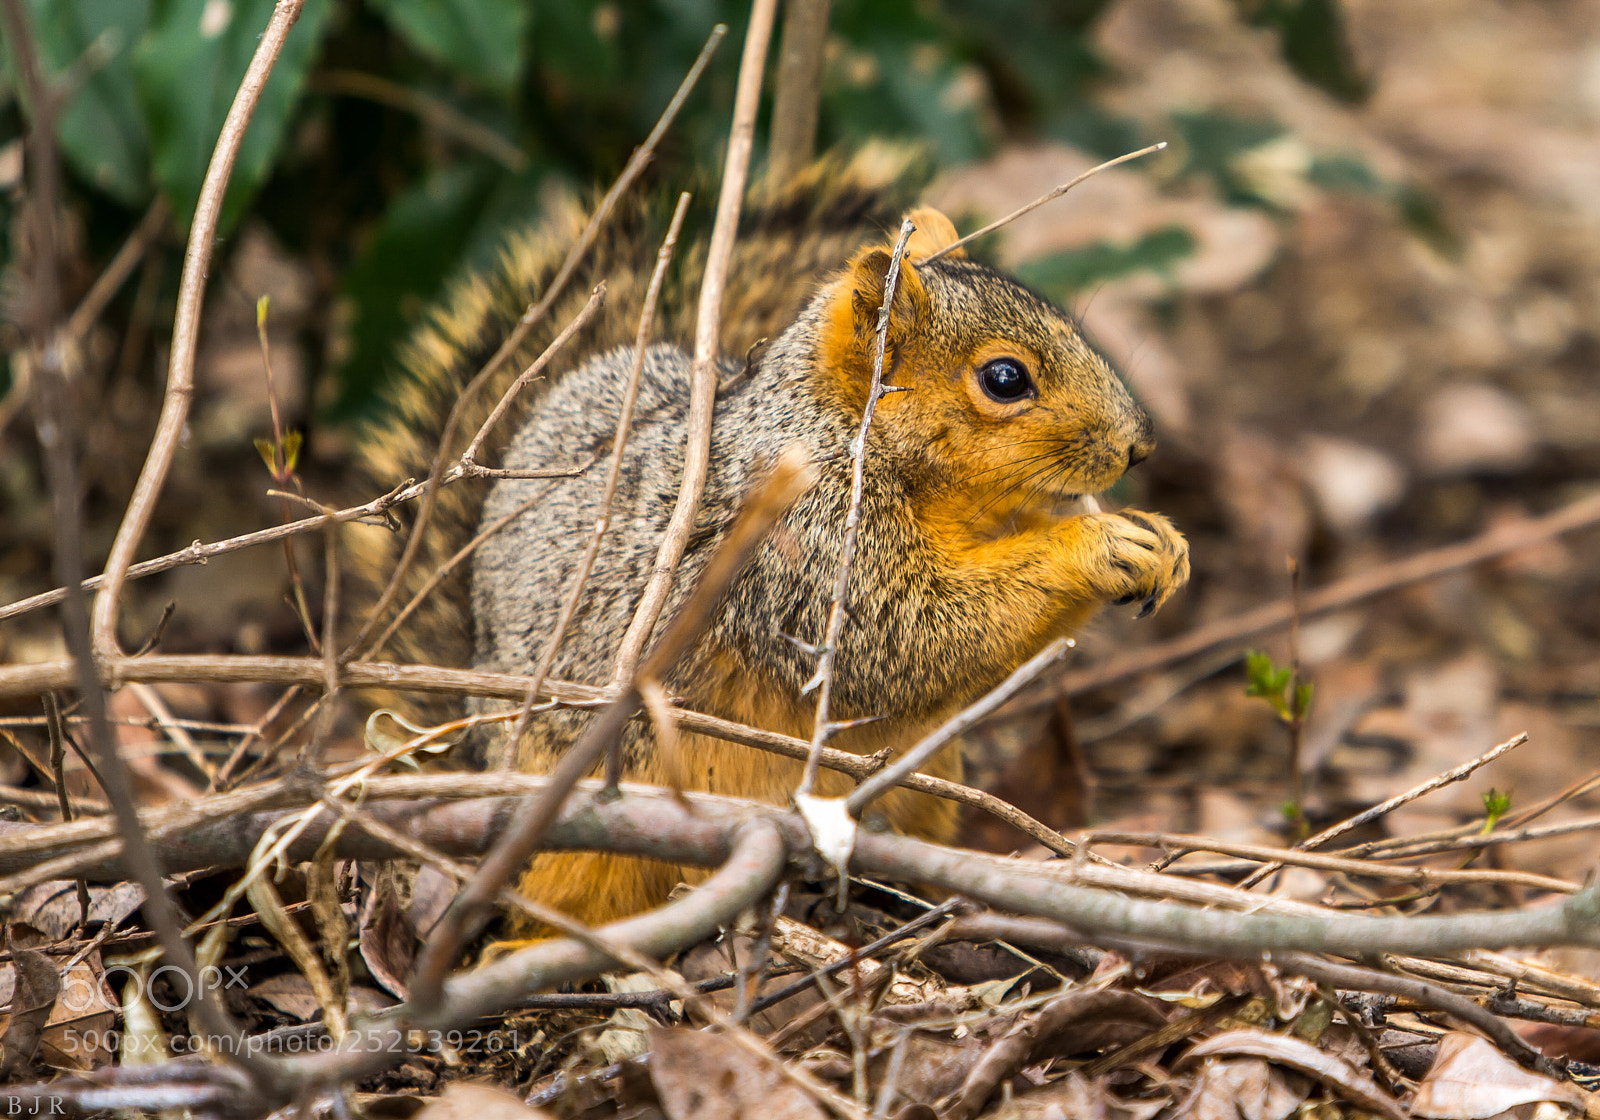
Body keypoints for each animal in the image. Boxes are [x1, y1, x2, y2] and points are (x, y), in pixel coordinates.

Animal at [351, 147, 1190, 937]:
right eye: (1005, 379)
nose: (1141, 446)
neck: (842, 432)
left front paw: (1161, 539)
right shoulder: (800, 545)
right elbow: (901, 637)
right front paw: (1099, 544)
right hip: (588, 815)